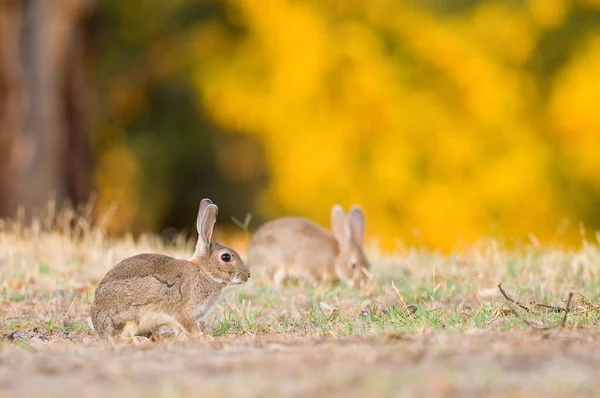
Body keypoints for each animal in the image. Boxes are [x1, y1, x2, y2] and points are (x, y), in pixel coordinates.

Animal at [88, 197, 248, 340]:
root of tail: (97, 325)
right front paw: (203, 336)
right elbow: (189, 326)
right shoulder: (183, 312)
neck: (204, 272)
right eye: (226, 257)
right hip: (128, 318)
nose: (247, 275)